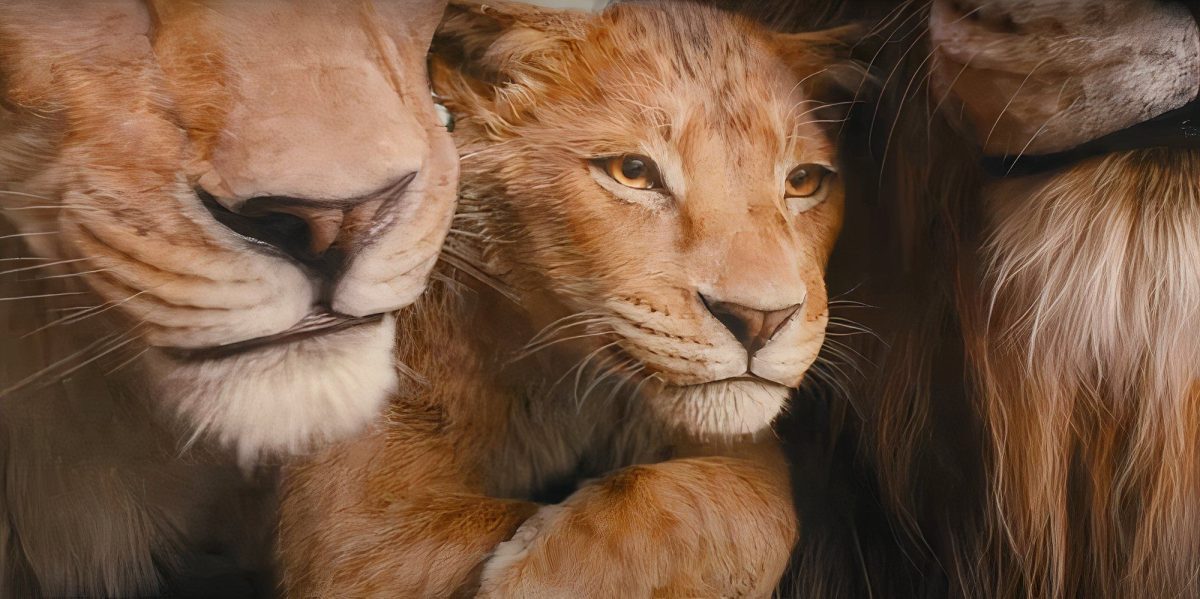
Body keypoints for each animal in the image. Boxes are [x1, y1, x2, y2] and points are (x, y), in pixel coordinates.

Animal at [277, 1, 865, 596]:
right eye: (633, 172)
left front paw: (550, 571)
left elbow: (738, 504)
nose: (761, 320)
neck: (558, 383)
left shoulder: (739, 452)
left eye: (803, 181)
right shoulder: (355, 528)